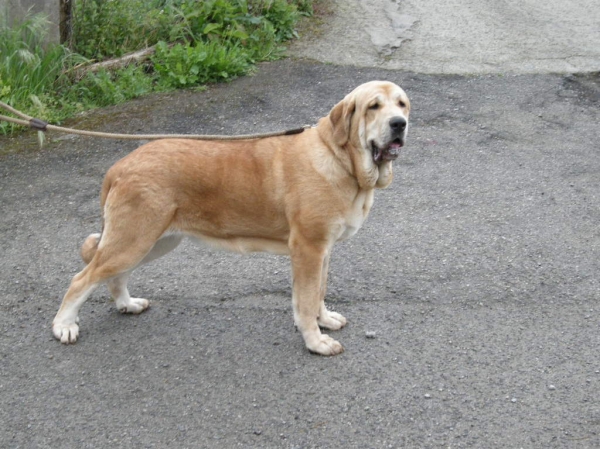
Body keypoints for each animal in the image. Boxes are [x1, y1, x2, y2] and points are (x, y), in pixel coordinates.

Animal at [54, 80, 410, 354]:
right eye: (373, 107)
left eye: (402, 104)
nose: (399, 124)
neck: (340, 159)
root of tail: (120, 166)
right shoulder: (308, 249)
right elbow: (306, 301)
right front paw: (315, 341)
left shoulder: (322, 250)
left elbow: (319, 292)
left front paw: (325, 320)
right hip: (134, 240)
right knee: (81, 279)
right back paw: (64, 325)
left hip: (154, 242)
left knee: (114, 277)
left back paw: (127, 305)